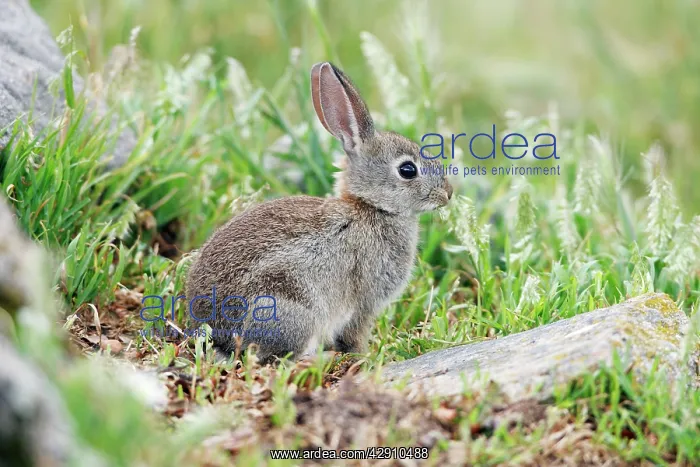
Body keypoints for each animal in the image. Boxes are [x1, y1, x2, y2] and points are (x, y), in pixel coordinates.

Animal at [185, 61, 453, 364]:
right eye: (408, 170)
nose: (447, 193)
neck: (371, 206)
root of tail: (215, 333)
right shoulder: (364, 303)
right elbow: (354, 334)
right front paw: (366, 357)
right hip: (288, 308)